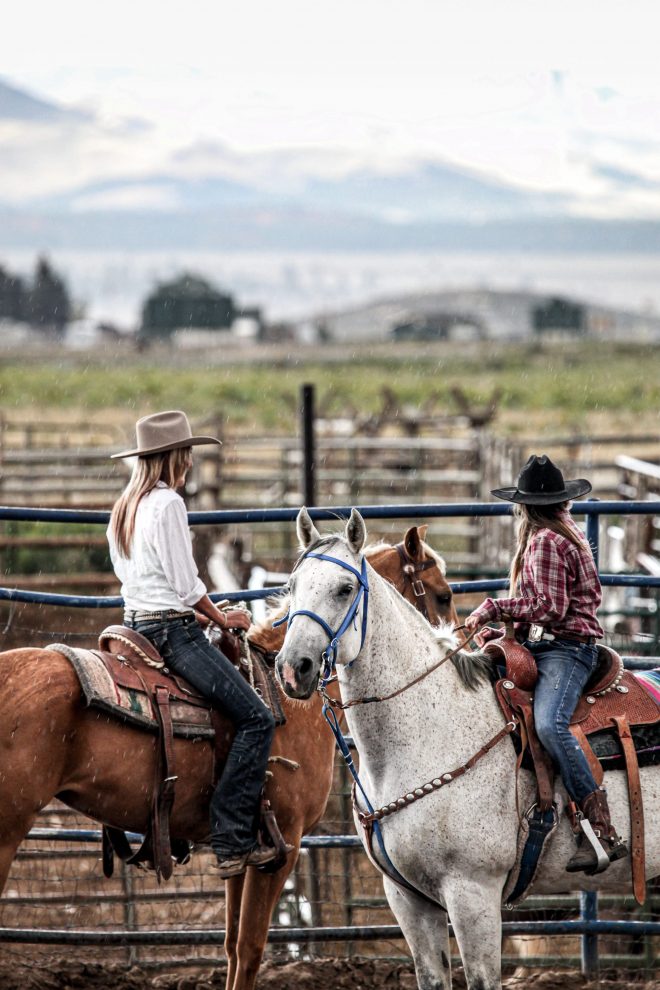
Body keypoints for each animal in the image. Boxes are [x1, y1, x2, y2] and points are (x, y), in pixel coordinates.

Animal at [0, 524, 456, 988]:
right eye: (442, 595)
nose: (295, 673)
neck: (286, 703)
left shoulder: (240, 847)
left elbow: (232, 944)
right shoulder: (283, 844)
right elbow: (250, 948)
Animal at [274, 512, 660, 990]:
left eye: (345, 589)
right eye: (292, 586)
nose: (293, 668)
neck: (427, 733)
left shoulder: (472, 892)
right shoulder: (407, 899)